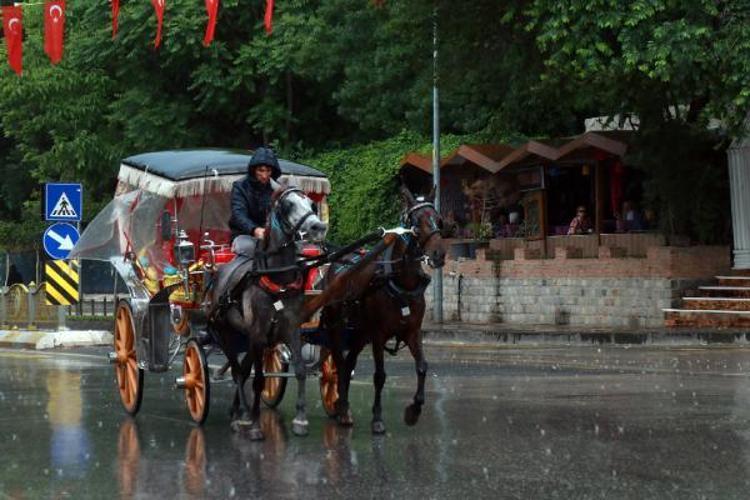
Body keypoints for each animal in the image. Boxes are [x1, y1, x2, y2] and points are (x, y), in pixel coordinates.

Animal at [321, 185, 447, 434]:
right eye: (416, 223)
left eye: (438, 219)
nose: (439, 254)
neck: (399, 283)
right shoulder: (378, 335)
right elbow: (379, 376)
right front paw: (377, 418)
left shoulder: (412, 332)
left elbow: (422, 367)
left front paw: (414, 410)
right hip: (336, 329)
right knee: (339, 364)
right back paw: (342, 407)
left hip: (359, 333)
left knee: (348, 364)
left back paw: (343, 409)